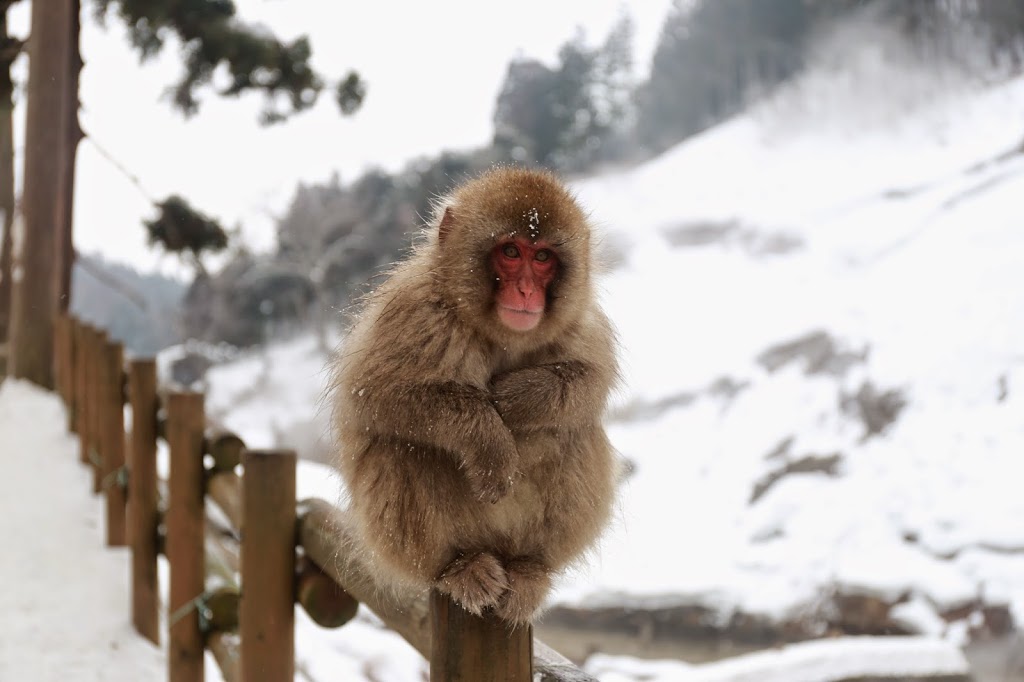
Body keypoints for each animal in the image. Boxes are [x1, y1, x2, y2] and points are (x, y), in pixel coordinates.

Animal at [331, 164, 614, 622]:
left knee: (575, 429)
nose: (526, 292)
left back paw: (530, 567)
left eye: (542, 257)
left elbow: (592, 380)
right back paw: (457, 568)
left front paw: (520, 398)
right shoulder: (416, 311)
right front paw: (489, 438)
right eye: (511, 252)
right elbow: (373, 396)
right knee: (399, 448)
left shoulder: (580, 322)